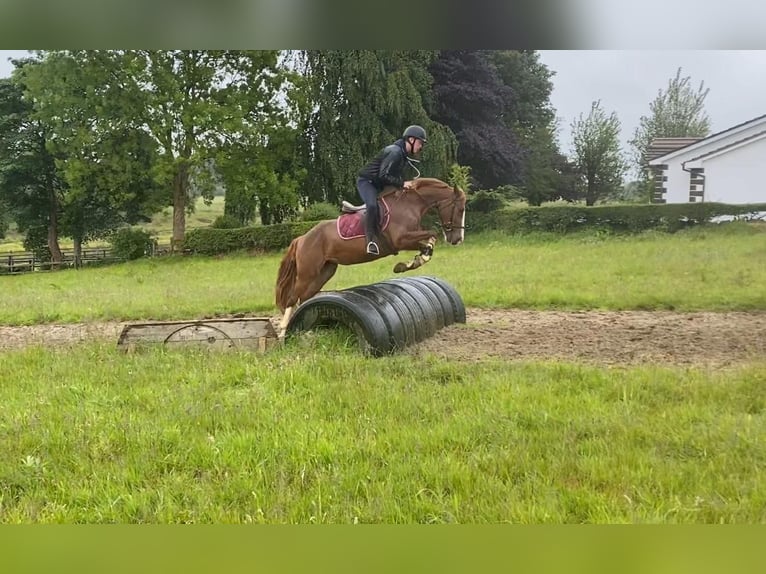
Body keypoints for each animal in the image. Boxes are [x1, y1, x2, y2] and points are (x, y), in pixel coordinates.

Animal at [276, 176, 468, 338]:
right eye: (460, 209)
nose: (457, 239)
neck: (409, 204)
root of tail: (301, 238)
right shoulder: (401, 240)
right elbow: (433, 233)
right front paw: (411, 262)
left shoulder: (409, 239)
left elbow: (429, 241)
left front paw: (411, 263)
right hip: (308, 272)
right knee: (292, 298)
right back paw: (283, 332)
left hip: (325, 271)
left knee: (303, 298)